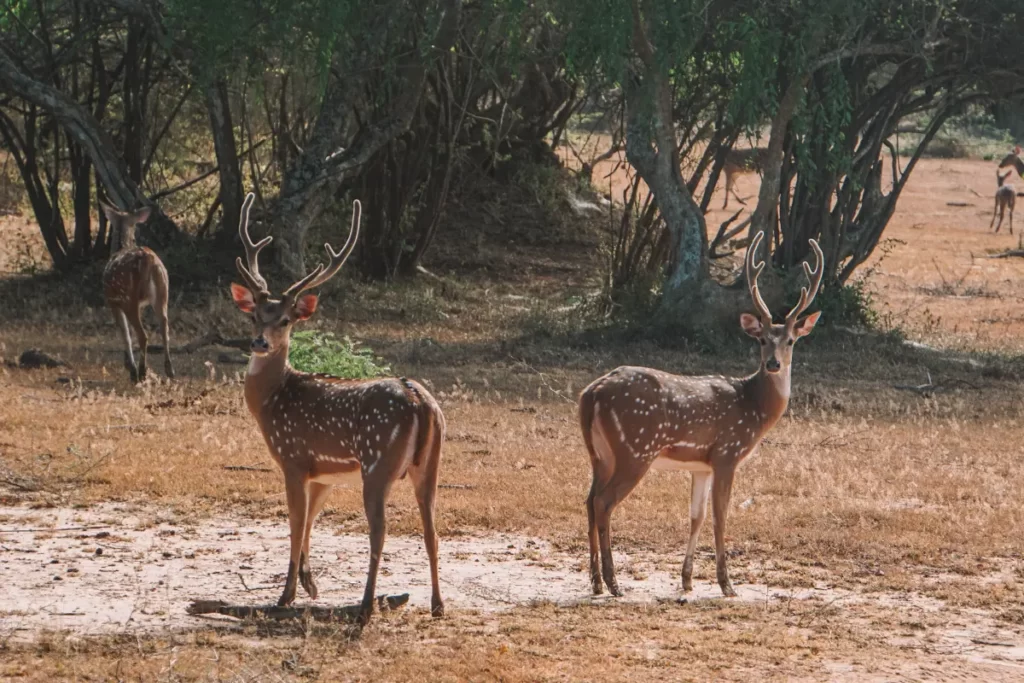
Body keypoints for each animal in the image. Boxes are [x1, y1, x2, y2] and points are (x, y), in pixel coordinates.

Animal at [100, 202, 174, 383]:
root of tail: (150, 260)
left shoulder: (113, 301)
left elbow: (125, 333)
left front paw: (129, 367)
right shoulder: (139, 304)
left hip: (129, 297)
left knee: (143, 335)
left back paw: (140, 372)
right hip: (163, 292)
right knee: (165, 327)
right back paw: (169, 370)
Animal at [228, 193, 445, 624]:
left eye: (285, 320)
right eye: (254, 315)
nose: (260, 342)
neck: (273, 398)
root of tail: (418, 401)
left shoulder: (293, 456)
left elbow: (295, 524)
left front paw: (286, 594)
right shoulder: (323, 472)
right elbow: (311, 521)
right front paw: (310, 585)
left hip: (378, 462)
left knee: (380, 530)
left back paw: (365, 605)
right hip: (428, 463)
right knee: (431, 527)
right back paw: (437, 604)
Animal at [579, 231, 822, 599]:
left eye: (791, 341)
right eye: (763, 340)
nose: (773, 364)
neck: (753, 405)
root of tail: (591, 394)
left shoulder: (701, 465)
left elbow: (697, 515)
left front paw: (687, 579)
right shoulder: (727, 453)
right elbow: (721, 516)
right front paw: (727, 583)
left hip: (600, 454)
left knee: (589, 500)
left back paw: (595, 581)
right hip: (635, 448)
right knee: (604, 503)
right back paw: (613, 582)